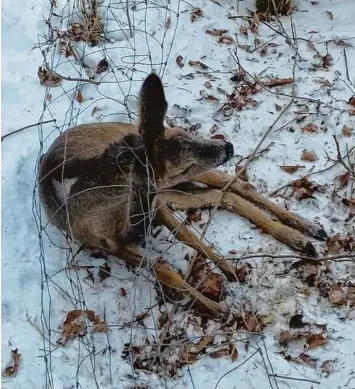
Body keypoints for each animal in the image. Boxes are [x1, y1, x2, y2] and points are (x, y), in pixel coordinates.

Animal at [38, 72, 328, 316]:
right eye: (183, 166)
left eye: (186, 133)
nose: (228, 146)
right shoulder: (108, 240)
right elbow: (166, 270)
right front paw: (217, 303)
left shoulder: (155, 205)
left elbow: (189, 237)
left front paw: (227, 276)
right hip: (171, 192)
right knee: (221, 194)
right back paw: (301, 236)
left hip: (172, 190)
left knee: (231, 184)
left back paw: (307, 231)